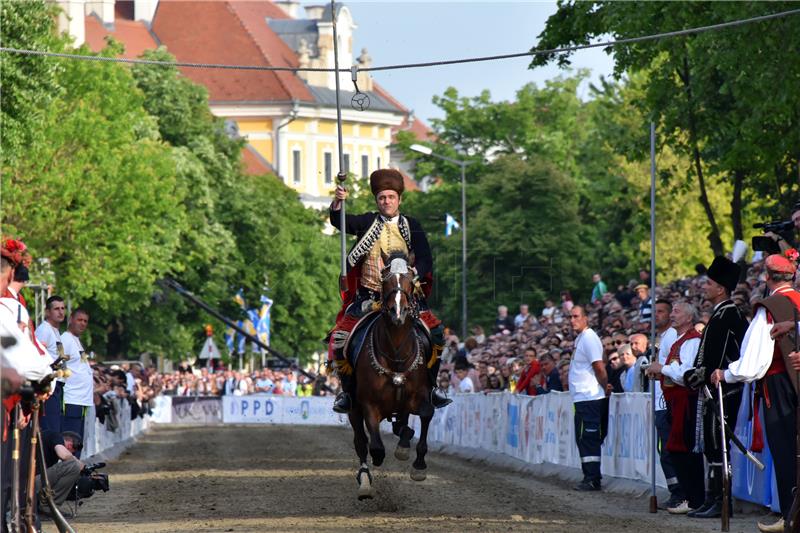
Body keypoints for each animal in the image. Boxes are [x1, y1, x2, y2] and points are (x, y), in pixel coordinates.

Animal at [348, 251, 434, 496]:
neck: (396, 351)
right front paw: (377, 460)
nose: (398, 312)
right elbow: (375, 445)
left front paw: (418, 465)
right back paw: (364, 481)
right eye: (385, 280)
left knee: (401, 425)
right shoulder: (368, 404)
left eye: (410, 280)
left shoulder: (421, 394)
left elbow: (425, 414)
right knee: (361, 442)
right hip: (352, 408)